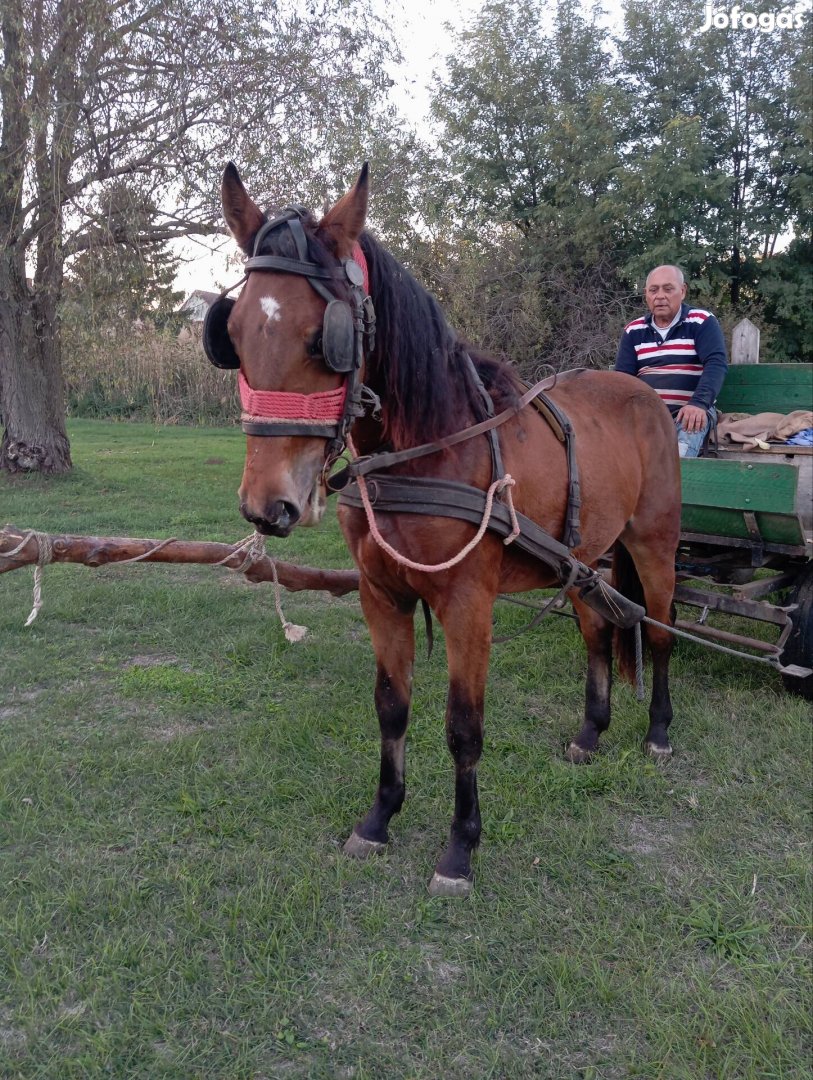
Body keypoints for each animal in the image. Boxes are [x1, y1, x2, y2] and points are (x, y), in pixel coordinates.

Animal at [206, 164, 682, 898]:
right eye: (232, 331)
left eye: (324, 338)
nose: (268, 505)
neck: (427, 448)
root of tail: (646, 396)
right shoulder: (382, 596)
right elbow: (391, 706)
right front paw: (378, 819)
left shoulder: (466, 605)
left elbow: (463, 727)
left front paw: (460, 848)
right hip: (583, 559)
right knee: (597, 631)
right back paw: (590, 733)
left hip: (653, 544)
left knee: (655, 631)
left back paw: (656, 730)